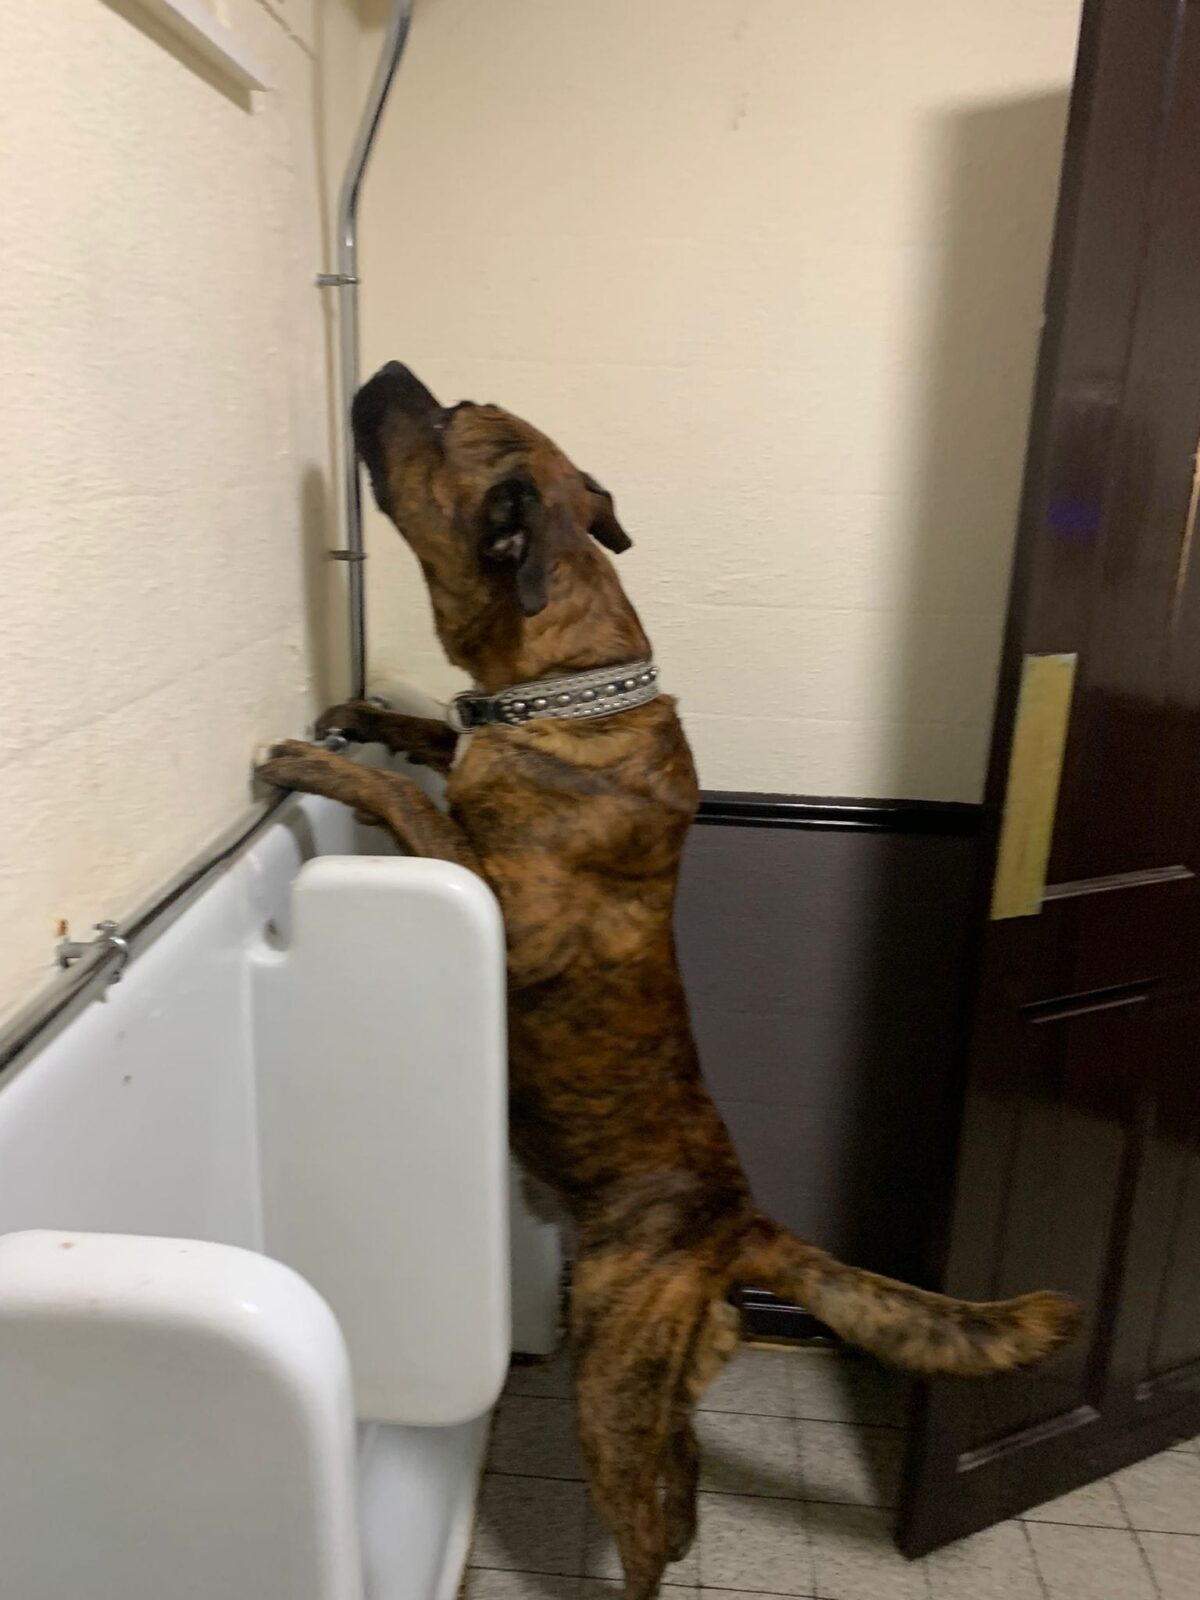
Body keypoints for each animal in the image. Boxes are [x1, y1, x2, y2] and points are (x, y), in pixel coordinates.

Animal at [259, 363, 1088, 1600]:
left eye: (449, 423)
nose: (394, 371)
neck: (571, 681)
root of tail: (741, 1225)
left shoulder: (504, 906)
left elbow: (414, 798)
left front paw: (320, 761)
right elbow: (428, 742)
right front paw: (367, 712)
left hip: (611, 1367)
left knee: (647, 1530)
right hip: (667, 1376)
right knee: (682, 1492)